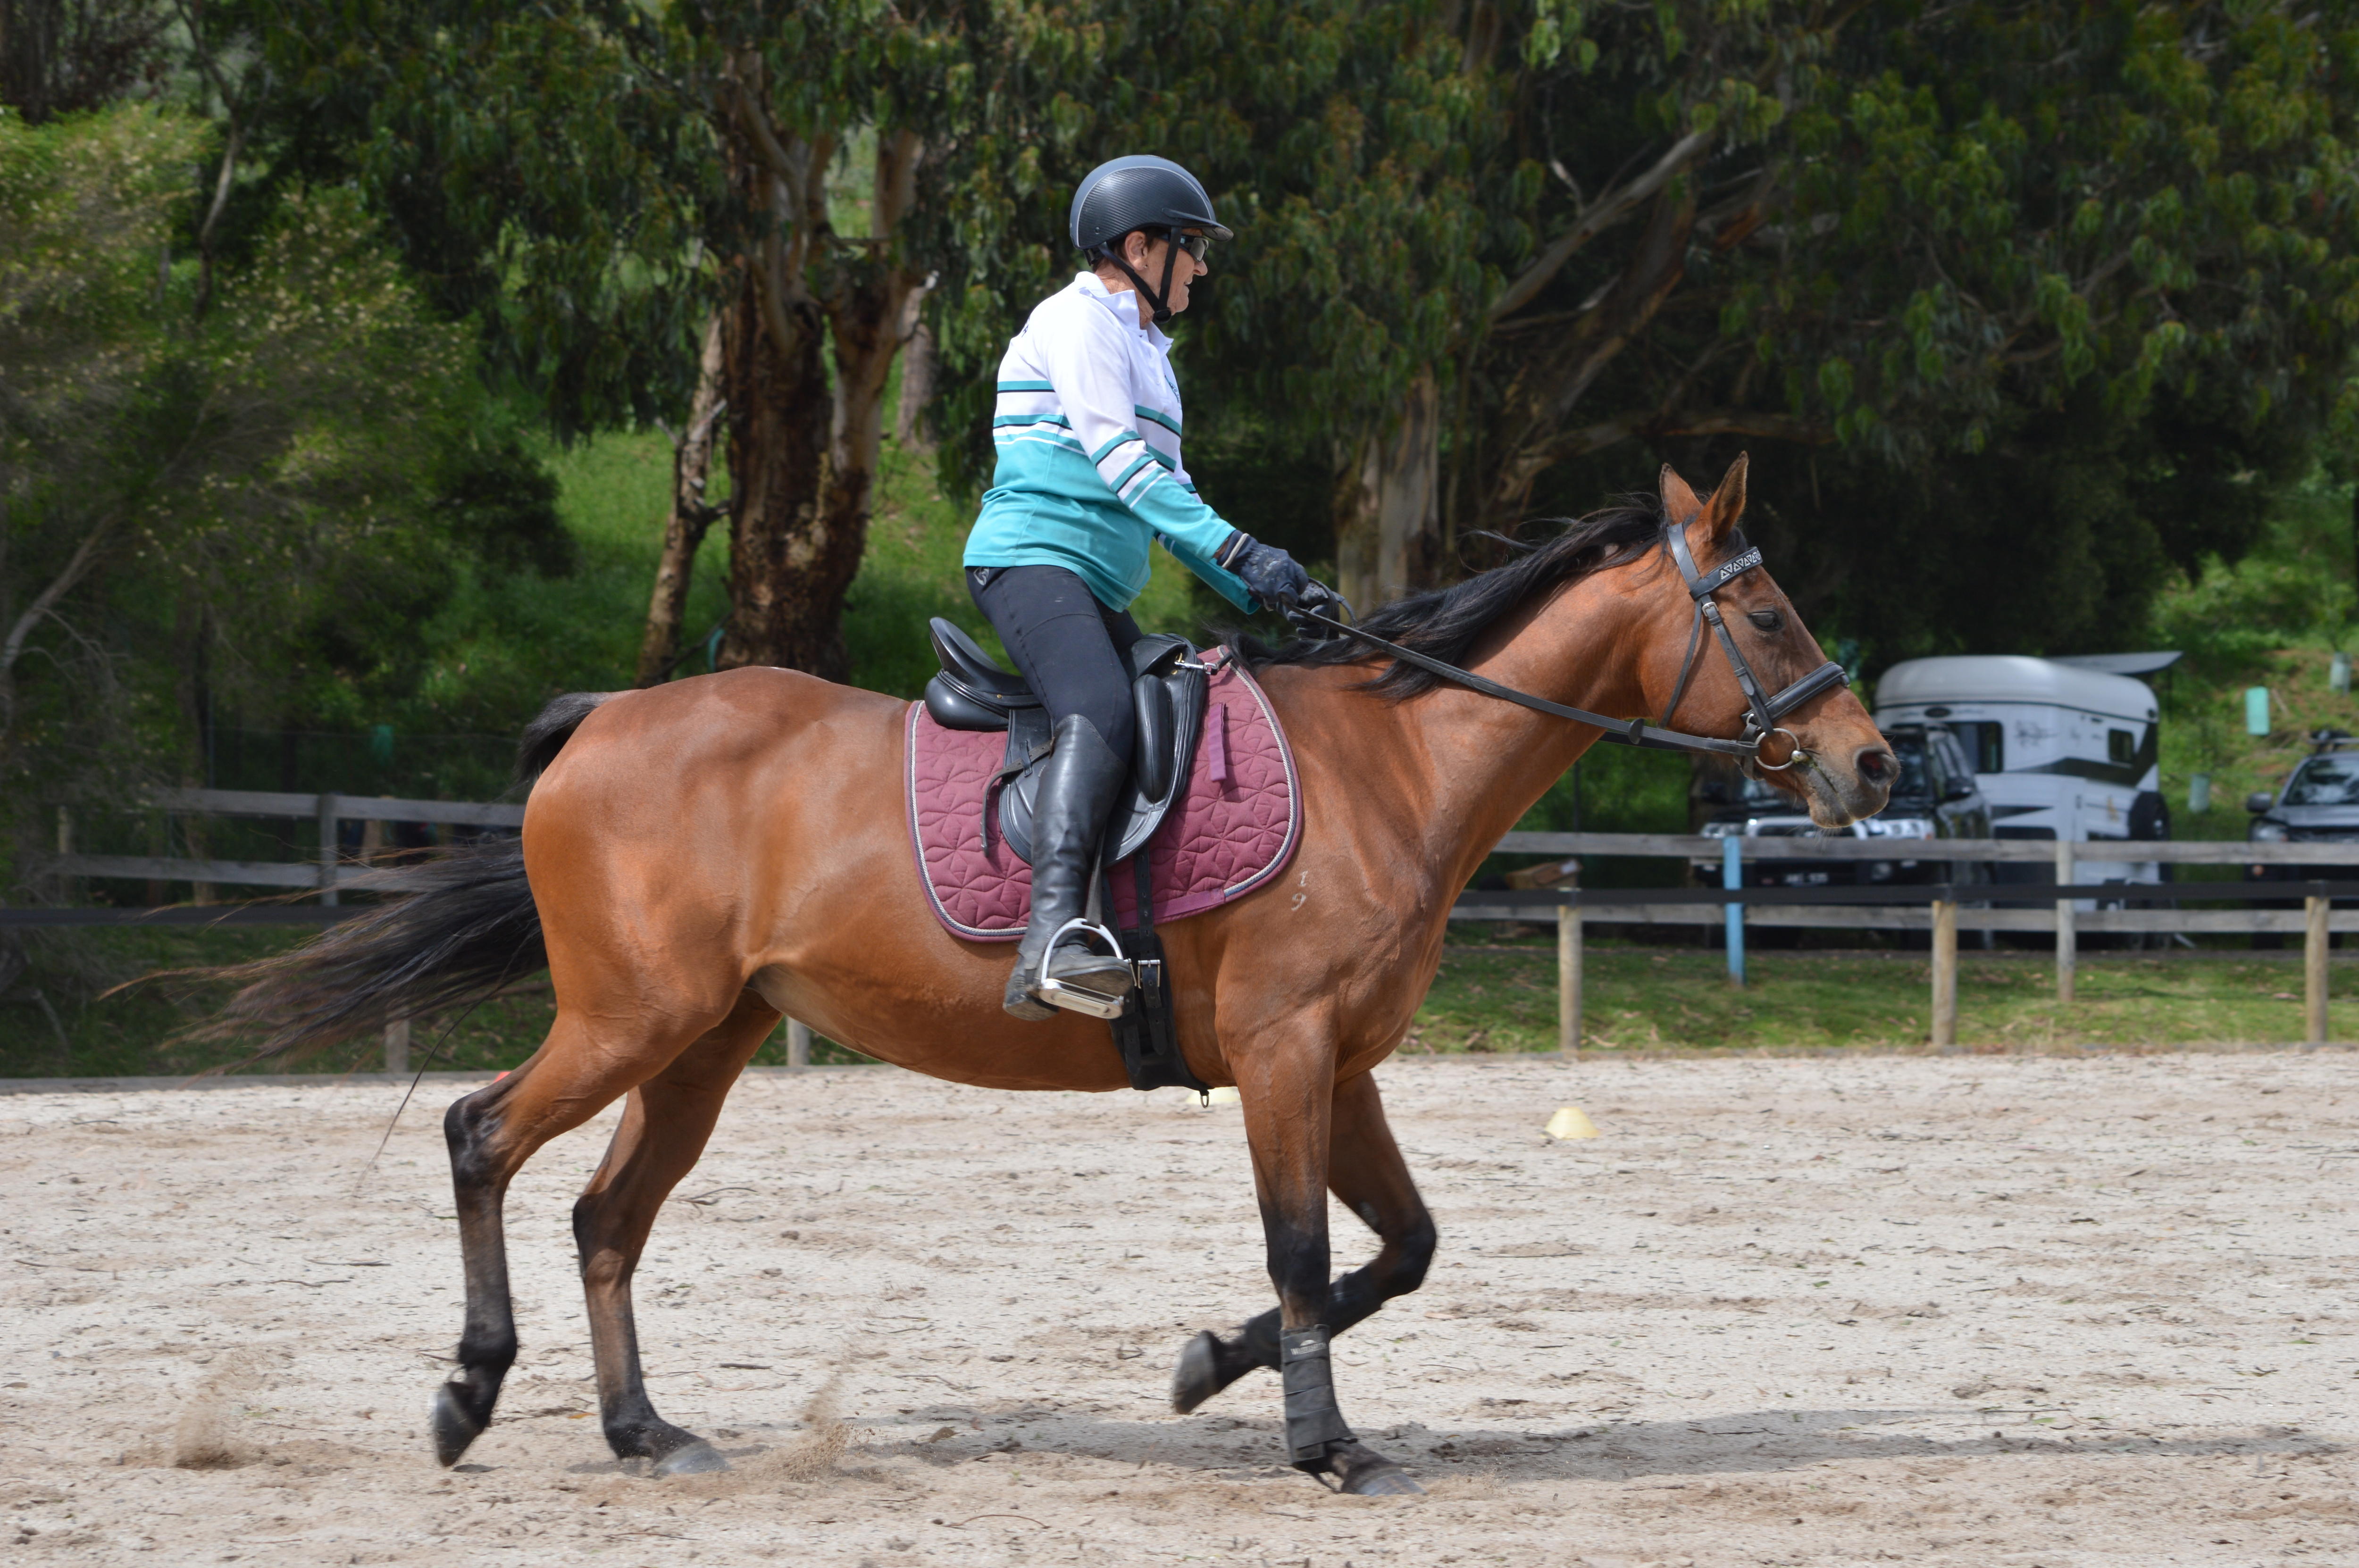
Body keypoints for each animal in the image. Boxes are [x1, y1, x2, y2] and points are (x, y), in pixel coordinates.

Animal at [196, 456, 1894, 1495]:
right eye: (1762, 607)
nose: (1871, 761)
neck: (1396, 762)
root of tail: (604, 716)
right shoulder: (1284, 1057)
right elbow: (1303, 1251)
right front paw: (1319, 1441)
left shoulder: (1339, 1064)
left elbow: (1401, 1249)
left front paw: (1211, 1370)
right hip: (634, 1018)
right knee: (481, 1134)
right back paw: (470, 1393)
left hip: (705, 1042)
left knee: (608, 1215)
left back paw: (644, 1431)